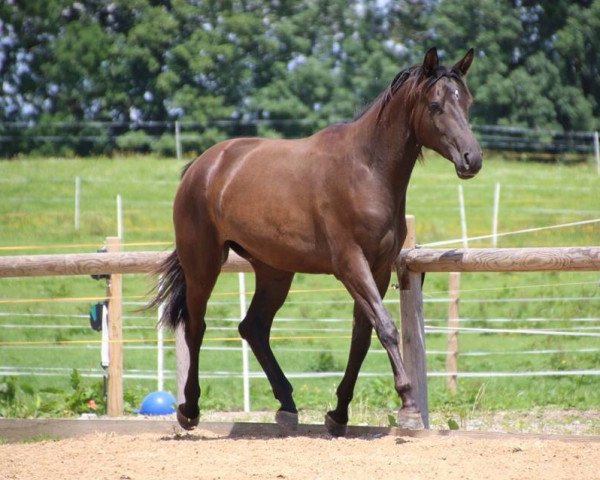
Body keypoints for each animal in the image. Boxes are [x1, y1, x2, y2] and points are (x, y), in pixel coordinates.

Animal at [154, 47, 482, 436]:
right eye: (435, 105)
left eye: (467, 102)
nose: (472, 159)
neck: (367, 170)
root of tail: (201, 166)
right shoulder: (350, 264)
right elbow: (386, 328)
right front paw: (408, 406)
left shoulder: (379, 269)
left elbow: (363, 336)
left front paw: (338, 414)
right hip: (203, 264)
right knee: (196, 325)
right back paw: (189, 409)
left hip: (274, 271)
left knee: (253, 327)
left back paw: (286, 405)